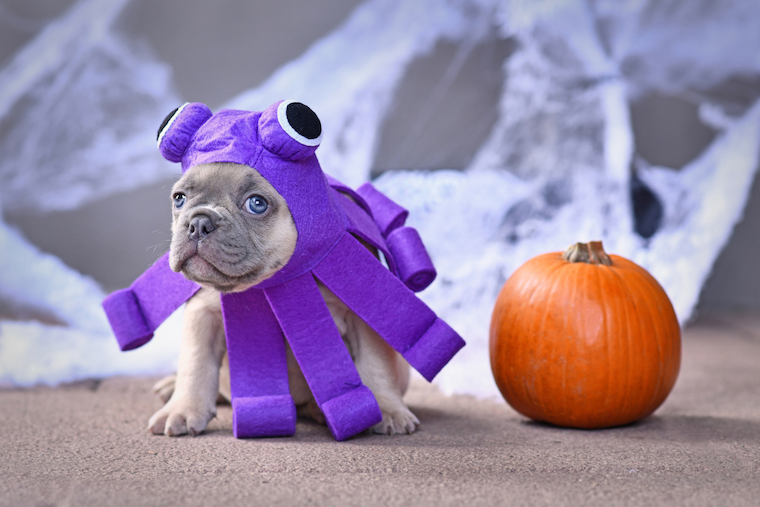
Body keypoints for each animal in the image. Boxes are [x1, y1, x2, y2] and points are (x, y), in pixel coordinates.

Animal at [145, 163, 418, 436]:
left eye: (256, 204)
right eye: (179, 199)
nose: (199, 222)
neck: (272, 282)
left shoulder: (362, 314)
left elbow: (375, 363)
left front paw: (388, 409)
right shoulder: (202, 315)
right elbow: (195, 363)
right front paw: (181, 410)